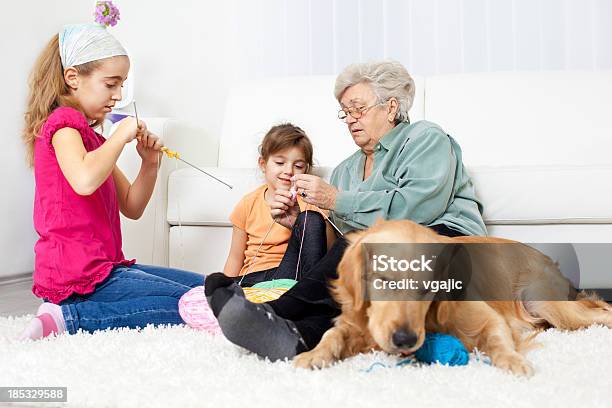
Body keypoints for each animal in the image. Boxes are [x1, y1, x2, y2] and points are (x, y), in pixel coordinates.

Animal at [292, 220, 612, 376]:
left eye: (427, 288)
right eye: (383, 280)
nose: (405, 340)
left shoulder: (489, 318)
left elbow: (499, 340)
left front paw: (512, 360)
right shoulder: (356, 324)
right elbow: (332, 334)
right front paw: (312, 355)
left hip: (545, 300)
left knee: (603, 312)